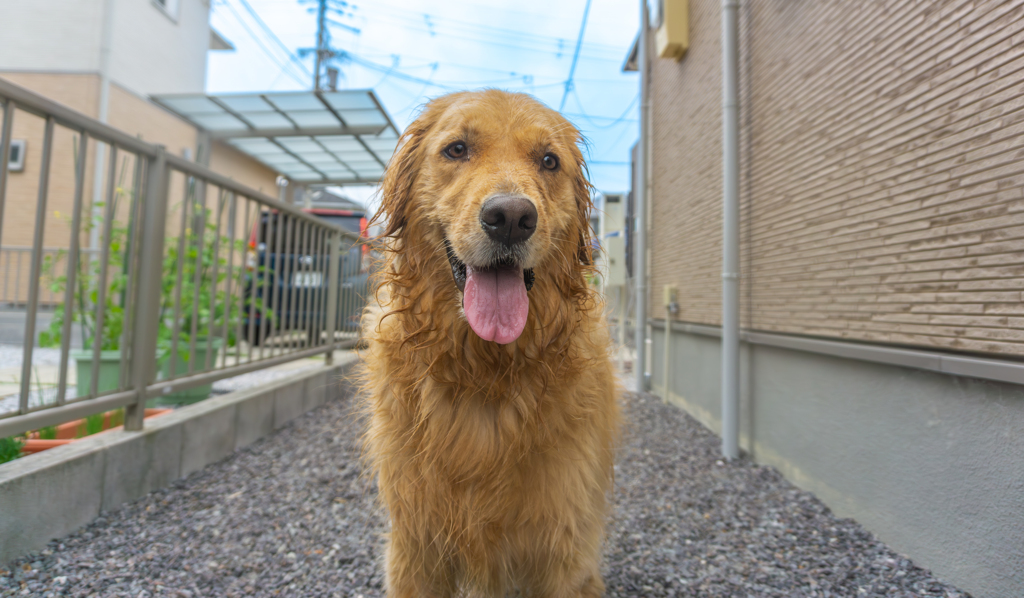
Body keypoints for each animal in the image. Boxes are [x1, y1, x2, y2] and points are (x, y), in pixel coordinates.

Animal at [360, 90, 614, 598]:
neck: (483, 368)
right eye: (457, 149)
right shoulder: (415, 543)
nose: (511, 219)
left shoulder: (563, 546)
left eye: (549, 160)